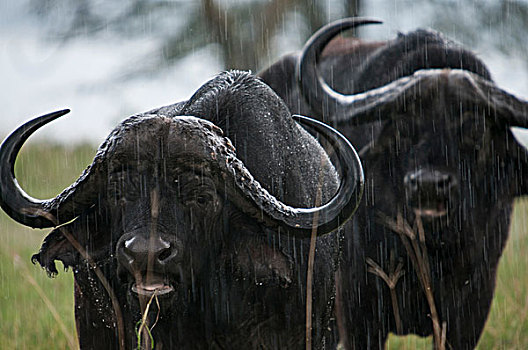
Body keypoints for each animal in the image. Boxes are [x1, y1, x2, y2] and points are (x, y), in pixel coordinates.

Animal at [258, 18, 528, 350]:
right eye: (404, 127)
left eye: (474, 127)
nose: (428, 185)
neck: (432, 252)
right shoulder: (358, 310)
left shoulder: (472, 307)